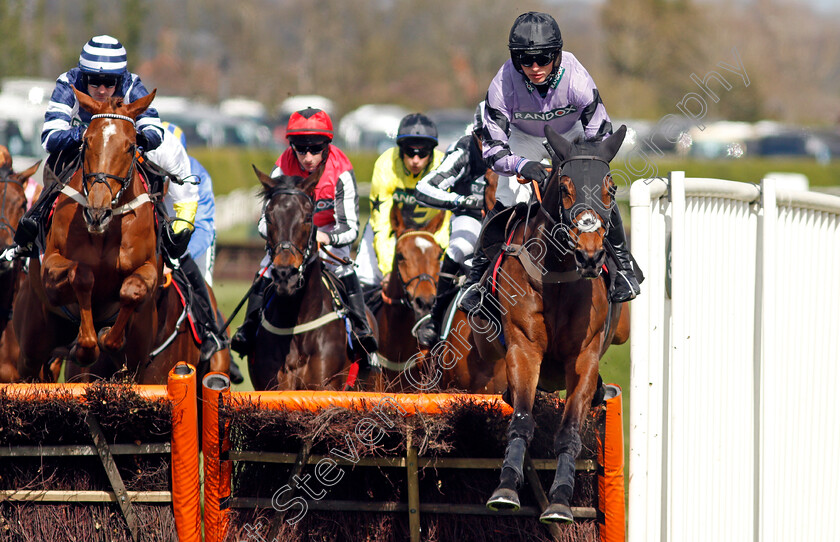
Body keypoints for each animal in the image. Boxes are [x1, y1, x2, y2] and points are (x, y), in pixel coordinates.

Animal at [14, 89, 162, 382]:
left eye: (131, 146)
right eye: (87, 141)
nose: (97, 212)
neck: (106, 231)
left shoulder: (148, 268)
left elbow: (133, 290)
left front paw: (107, 337)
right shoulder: (51, 268)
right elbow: (82, 275)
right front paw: (84, 346)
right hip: (31, 342)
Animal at [243, 168, 374, 394]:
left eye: (306, 217)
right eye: (268, 216)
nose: (286, 275)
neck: (296, 323)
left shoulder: (324, 385)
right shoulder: (274, 385)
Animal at [480, 126, 632, 524]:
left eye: (610, 188)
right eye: (564, 187)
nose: (590, 255)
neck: (559, 275)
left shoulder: (583, 359)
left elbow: (569, 430)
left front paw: (561, 499)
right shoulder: (523, 350)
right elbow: (521, 419)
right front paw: (506, 486)